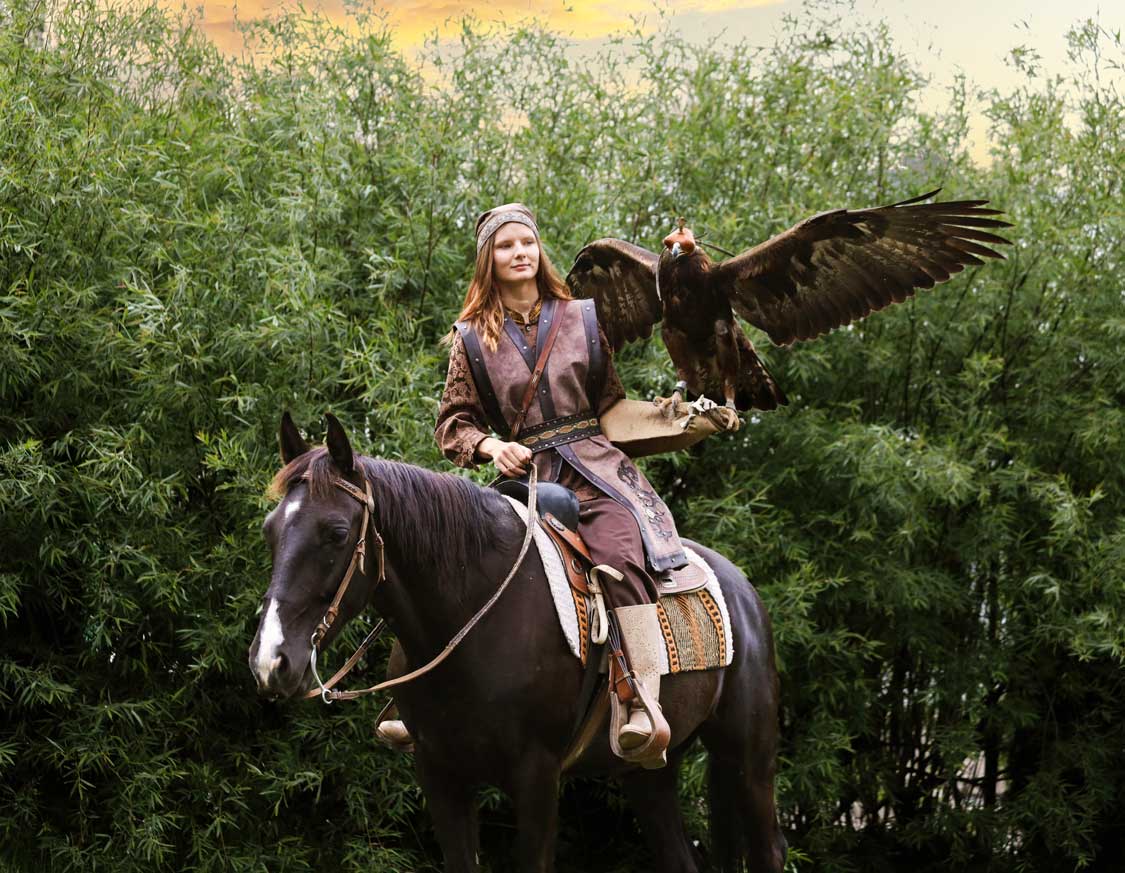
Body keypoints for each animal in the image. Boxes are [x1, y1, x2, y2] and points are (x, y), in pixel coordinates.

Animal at [250, 411, 787, 873]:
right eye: (270, 530)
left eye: (337, 532)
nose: (271, 662)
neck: (471, 616)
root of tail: (740, 586)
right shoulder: (441, 777)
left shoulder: (537, 778)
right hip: (649, 772)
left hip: (749, 760)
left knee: (768, 849)